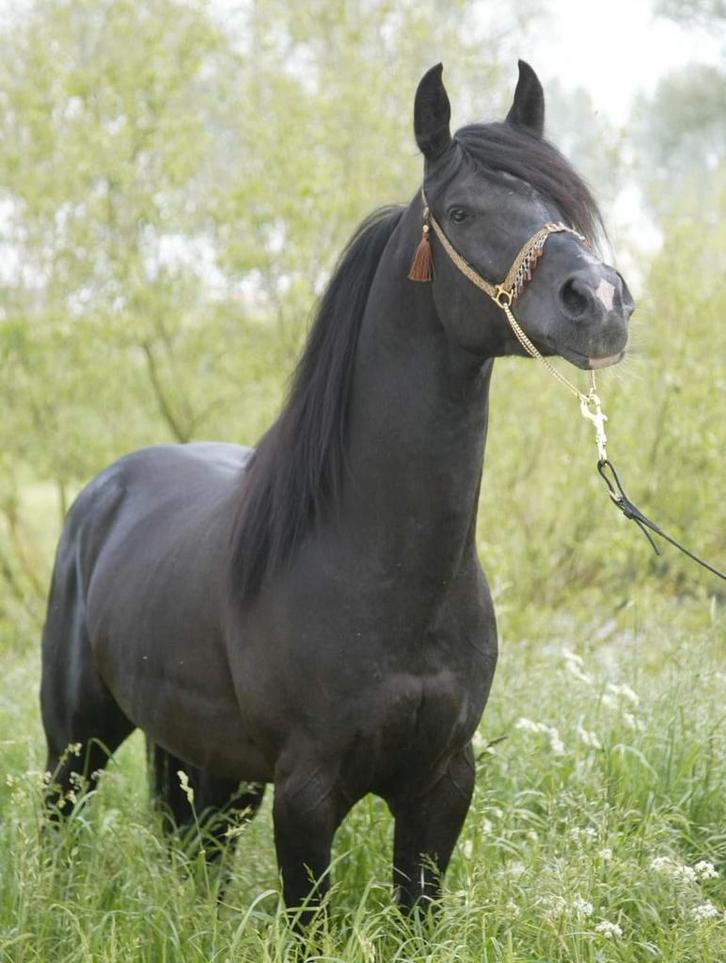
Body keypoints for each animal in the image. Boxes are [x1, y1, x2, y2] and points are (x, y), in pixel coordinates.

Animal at [40, 60, 633, 921]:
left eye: (563, 209)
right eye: (461, 211)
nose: (601, 303)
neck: (376, 564)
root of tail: (105, 492)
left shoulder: (441, 786)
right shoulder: (307, 793)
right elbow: (309, 924)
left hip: (211, 762)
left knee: (199, 849)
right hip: (77, 736)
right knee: (58, 820)